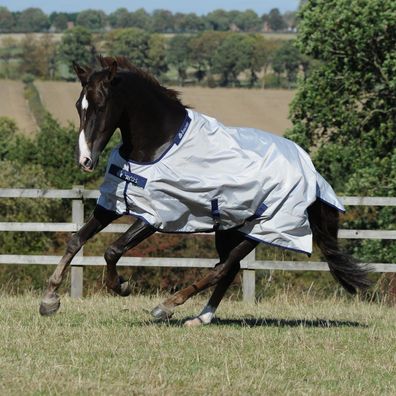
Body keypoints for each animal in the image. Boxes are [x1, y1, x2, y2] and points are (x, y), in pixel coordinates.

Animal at [38, 55, 370, 324]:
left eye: (101, 105)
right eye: (79, 105)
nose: (85, 160)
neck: (159, 145)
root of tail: (311, 173)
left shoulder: (156, 216)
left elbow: (112, 250)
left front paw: (121, 286)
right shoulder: (113, 204)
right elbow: (75, 240)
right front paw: (49, 300)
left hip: (259, 231)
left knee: (222, 269)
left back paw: (167, 306)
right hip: (229, 228)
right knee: (228, 269)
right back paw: (200, 318)